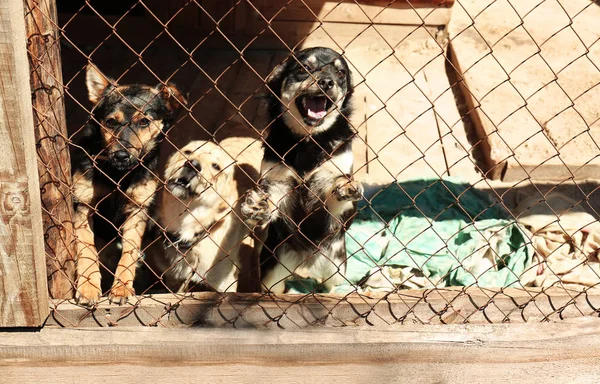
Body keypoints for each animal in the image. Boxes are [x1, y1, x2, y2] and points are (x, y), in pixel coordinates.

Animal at [241, 47, 364, 294]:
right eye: (303, 68)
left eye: (341, 73)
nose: (326, 82)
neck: (309, 141)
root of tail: (305, 262)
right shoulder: (278, 183)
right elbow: (270, 201)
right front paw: (257, 206)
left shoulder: (334, 196)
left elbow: (337, 188)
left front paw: (346, 185)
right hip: (273, 272)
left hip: (336, 269)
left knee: (330, 288)